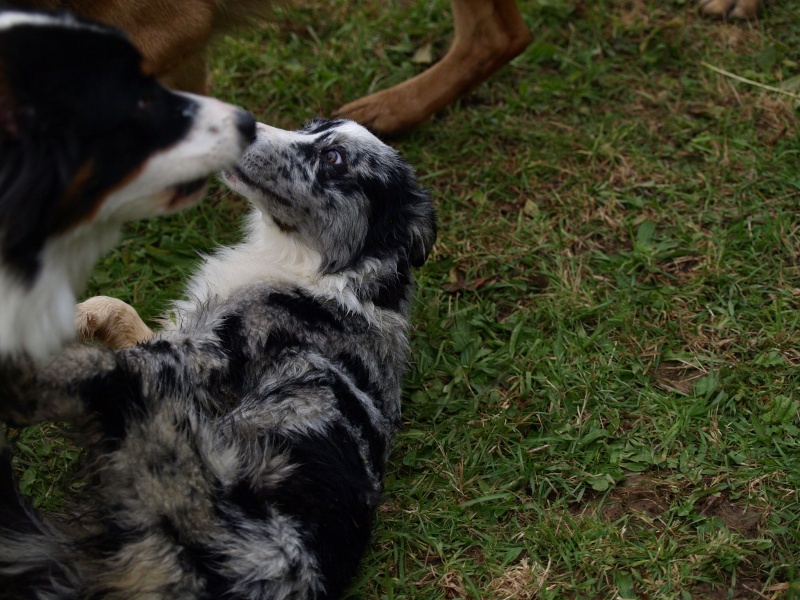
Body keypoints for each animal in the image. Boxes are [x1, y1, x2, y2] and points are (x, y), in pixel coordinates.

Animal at [0, 118, 438, 600]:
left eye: (333, 157)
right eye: (310, 128)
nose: (244, 125)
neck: (327, 269)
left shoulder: (199, 355)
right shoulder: (184, 329)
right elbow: (116, 306)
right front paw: (80, 316)